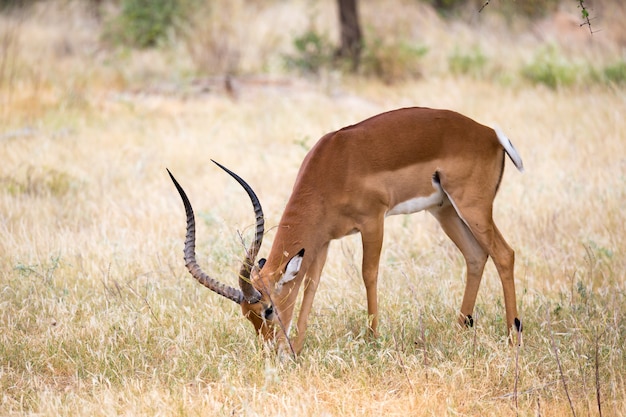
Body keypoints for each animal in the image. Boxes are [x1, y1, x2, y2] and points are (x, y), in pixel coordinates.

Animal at [168, 105, 524, 352]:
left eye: (267, 310)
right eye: (246, 316)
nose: (271, 351)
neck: (332, 166)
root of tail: (489, 133)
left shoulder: (373, 220)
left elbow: (369, 274)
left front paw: (373, 339)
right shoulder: (323, 240)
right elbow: (311, 286)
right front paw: (297, 349)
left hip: (473, 207)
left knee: (504, 254)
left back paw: (513, 335)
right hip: (445, 210)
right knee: (476, 256)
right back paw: (460, 329)